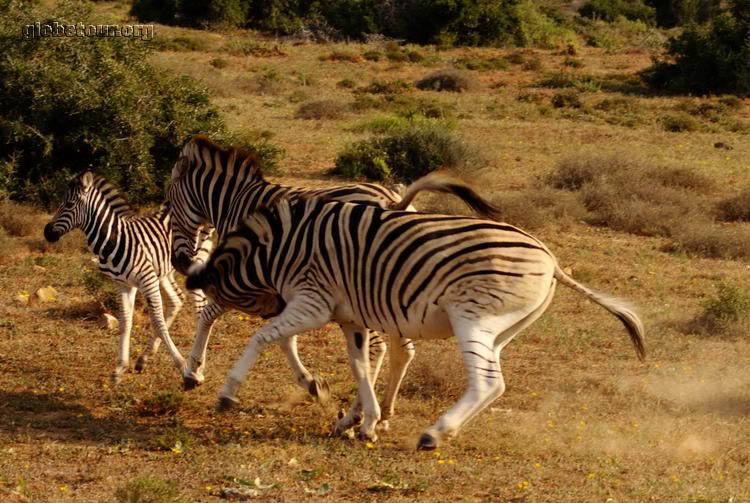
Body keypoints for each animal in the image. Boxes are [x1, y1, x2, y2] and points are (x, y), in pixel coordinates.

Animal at [44, 171, 209, 384]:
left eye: (69, 204)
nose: (47, 232)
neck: (114, 239)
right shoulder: (123, 284)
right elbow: (125, 322)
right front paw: (120, 368)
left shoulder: (147, 280)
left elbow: (158, 322)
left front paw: (182, 365)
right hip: (164, 271)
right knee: (177, 299)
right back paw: (145, 358)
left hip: (194, 263)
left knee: (201, 307)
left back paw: (199, 364)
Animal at [165, 136, 496, 412]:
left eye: (168, 205)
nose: (179, 263)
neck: (236, 202)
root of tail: (393, 199)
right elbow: (285, 338)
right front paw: (313, 384)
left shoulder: (247, 280)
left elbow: (210, 316)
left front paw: (192, 372)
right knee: (403, 349)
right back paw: (382, 411)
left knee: (379, 348)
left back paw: (360, 414)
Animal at [187, 187, 648, 450]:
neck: (276, 249)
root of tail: (551, 260)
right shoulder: (351, 318)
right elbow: (360, 367)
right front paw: (364, 422)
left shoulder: (314, 300)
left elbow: (261, 338)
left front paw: (227, 393)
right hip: (502, 329)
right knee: (493, 383)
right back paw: (448, 430)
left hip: (471, 318)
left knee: (489, 383)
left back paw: (435, 434)